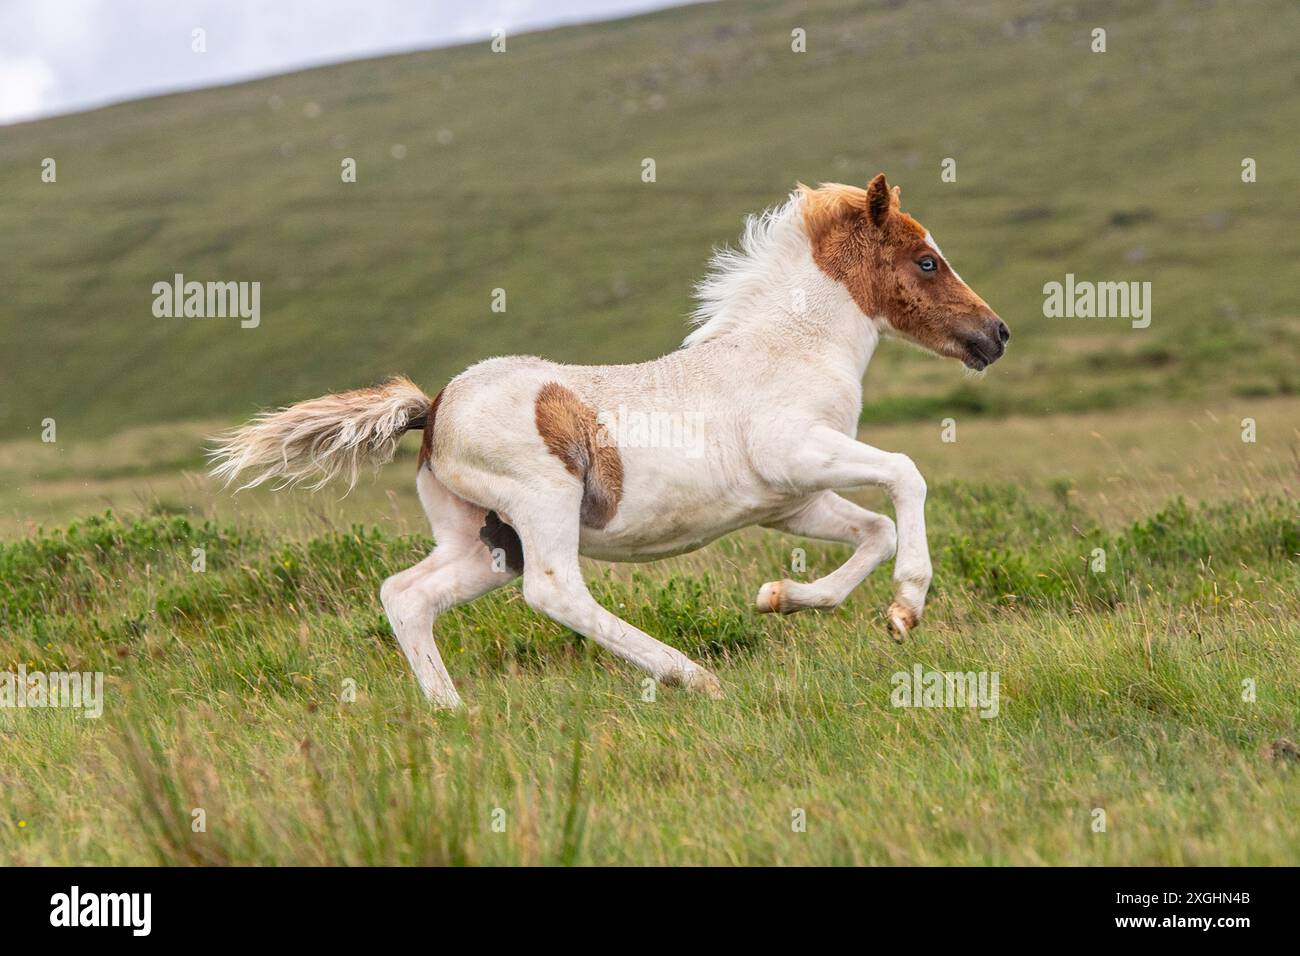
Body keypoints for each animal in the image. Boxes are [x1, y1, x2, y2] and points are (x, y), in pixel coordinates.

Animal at [209, 174, 1009, 707]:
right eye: (926, 260)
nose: (995, 334)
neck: (792, 347)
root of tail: (432, 411)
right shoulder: (796, 454)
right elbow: (906, 474)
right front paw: (907, 605)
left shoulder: (789, 502)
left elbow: (874, 531)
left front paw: (782, 598)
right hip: (542, 507)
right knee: (555, 591)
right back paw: (690, 675)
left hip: (485, 539)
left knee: (406, 595)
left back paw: (453, 714)